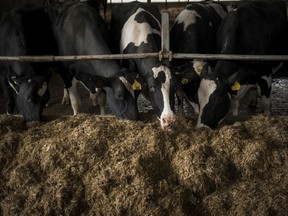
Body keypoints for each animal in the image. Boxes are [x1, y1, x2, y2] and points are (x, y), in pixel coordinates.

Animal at [196, 0, 288, 128]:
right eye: (198, 97)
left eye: (217, 99)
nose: (200, 128)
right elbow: (234, 104)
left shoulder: (266, 74)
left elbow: (265, 102)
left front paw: (267, 116)